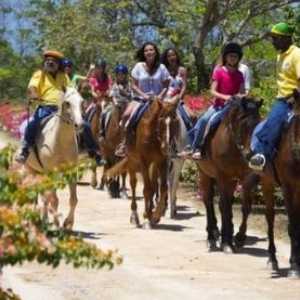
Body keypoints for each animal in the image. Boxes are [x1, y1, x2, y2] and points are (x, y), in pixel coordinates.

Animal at [21, 87, 84, 230]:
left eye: (82, 101)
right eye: (67, 103)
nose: (79, 125)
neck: (60, 141)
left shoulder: (71, 172)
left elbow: (74, 199)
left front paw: (68, 223)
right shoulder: (53, 172)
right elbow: (54, 200)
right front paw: (56, 223)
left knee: (43, 196)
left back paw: (43, 220)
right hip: (31, 170)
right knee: (36, 194)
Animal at [106, 96, 179, 227]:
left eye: (175, 120)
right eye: (161, 119)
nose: (167, 147)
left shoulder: (162, 161)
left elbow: (163, 188)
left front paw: (155, 215)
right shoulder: (144, 161)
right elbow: (147, 189)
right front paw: (147, 216)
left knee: (153, 185)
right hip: (132, 161)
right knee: (134, 184)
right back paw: (135, 215)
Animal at [195, 96, 262, 253]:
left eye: (259, 123)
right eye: (243, 124)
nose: (251, 155)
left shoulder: (246, 178)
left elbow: (245, 207)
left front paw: (239, 238)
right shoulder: (222, 176)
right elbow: (225, 206)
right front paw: (226, 242)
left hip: (230, 180)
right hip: (205, 174)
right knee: (208, 201)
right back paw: (212, 237)